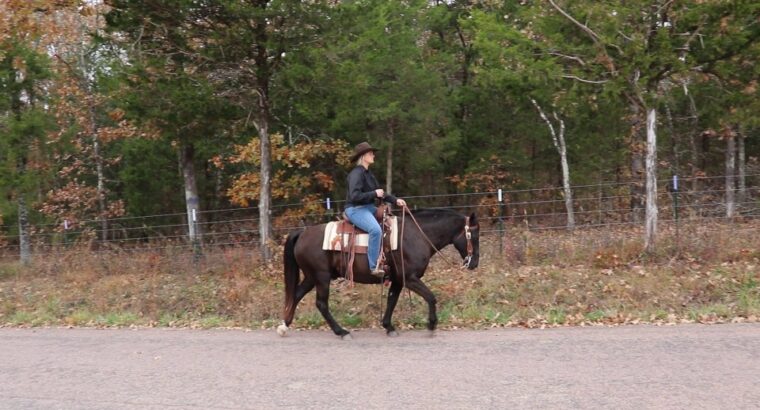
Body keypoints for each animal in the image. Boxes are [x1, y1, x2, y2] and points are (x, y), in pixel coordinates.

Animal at [280, 208, 478, 340]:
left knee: (296, 295)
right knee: (321, 304)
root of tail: (303, 232)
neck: (416, 235)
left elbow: (392, 301)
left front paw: (389, 327)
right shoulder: (410, 278)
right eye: (474, 236)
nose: (474, 263)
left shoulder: (398, 280)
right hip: (321, 277)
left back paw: (284, 326)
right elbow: (430, 297)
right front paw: (431, 325)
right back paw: (341, 332)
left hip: (311, 277)